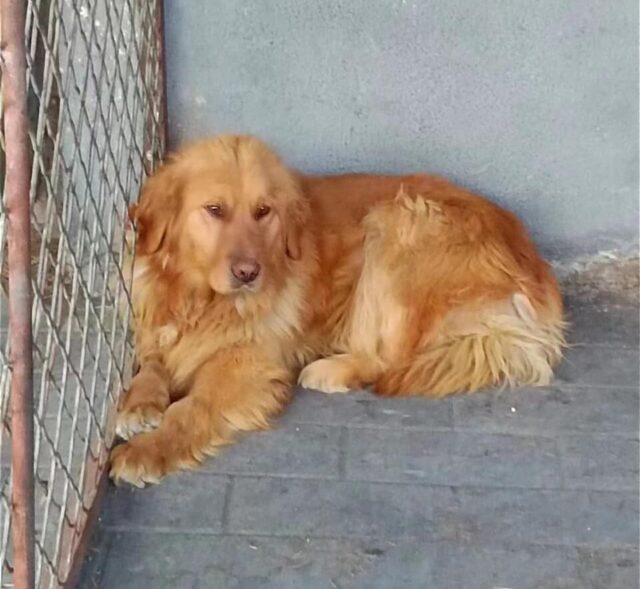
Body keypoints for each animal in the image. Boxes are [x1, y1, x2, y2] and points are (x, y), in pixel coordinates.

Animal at [110, 136, 564, 484]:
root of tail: (533, 264)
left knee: (389, 359)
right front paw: (139, 403)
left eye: (263, 211)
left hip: (395, 225)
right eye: (214, 210)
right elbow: (151, 364)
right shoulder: (156, 325)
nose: (248, 272)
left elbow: (189, 409)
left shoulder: (247, 364)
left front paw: (147, 451)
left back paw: (329, 370)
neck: (199, 299)